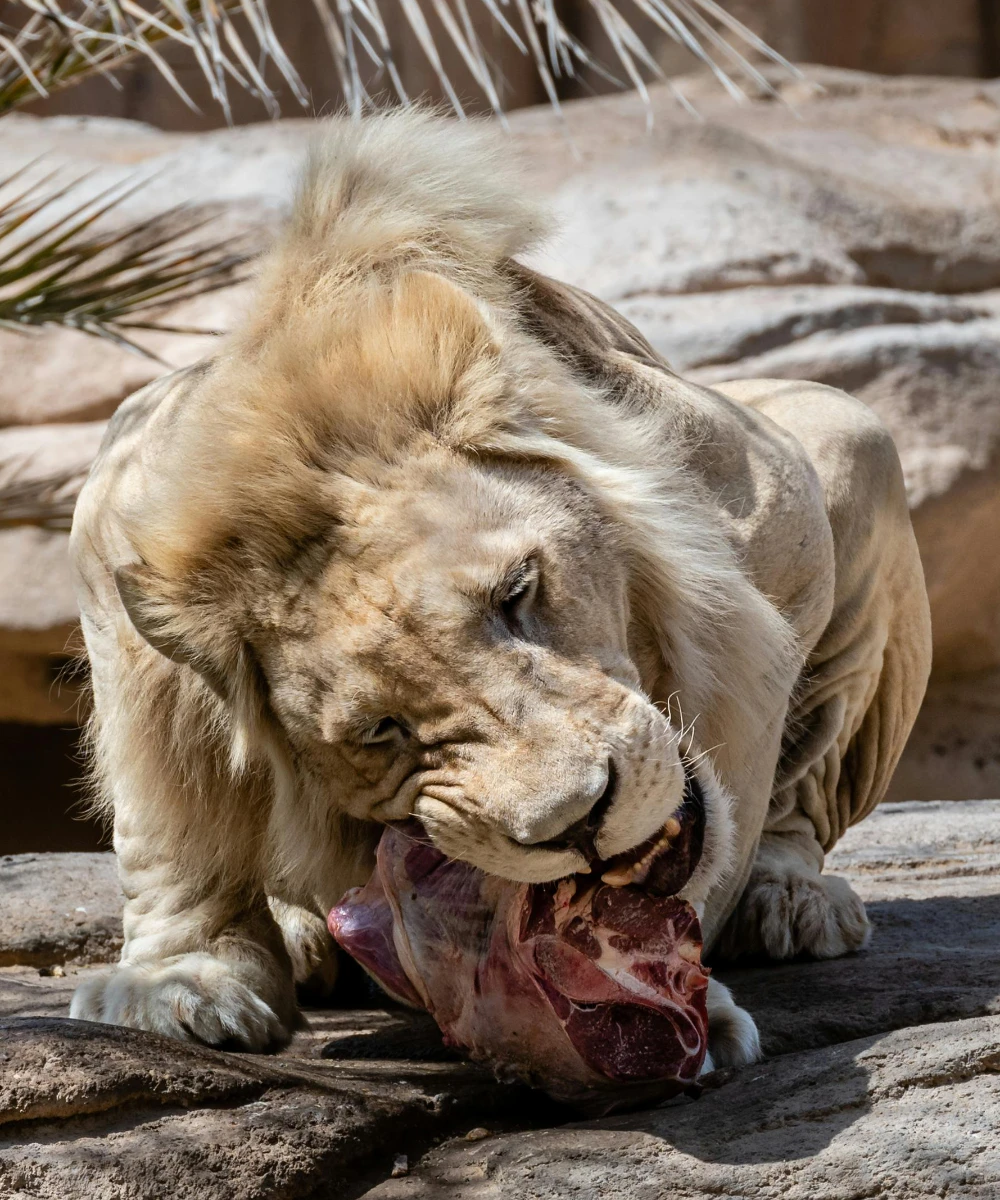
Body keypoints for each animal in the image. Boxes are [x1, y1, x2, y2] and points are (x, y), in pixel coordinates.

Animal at [68, 110, 931, 1069]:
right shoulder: (117, 520)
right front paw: (182, 981)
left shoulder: (777, 507)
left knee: (802, 791)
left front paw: (676, 982)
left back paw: (791, 900)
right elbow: (164, 820)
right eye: (380, 730)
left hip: (853, 433)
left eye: (518, 594)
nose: (577, 824)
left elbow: (742, 758)